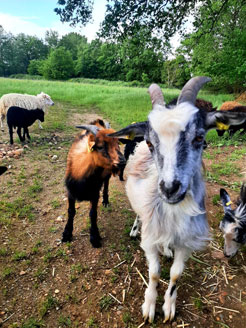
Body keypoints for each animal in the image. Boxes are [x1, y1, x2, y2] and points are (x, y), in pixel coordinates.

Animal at [62, 119, 125, 247]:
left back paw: (105, 201)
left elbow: (93, 213)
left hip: (107, 174)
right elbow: (71, 211)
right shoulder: (70, 191)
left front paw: (95, 237)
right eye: (100, 146)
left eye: (117, 143)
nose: (122, 161)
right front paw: (67, 233)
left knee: (106, 184)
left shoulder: (95, 193)